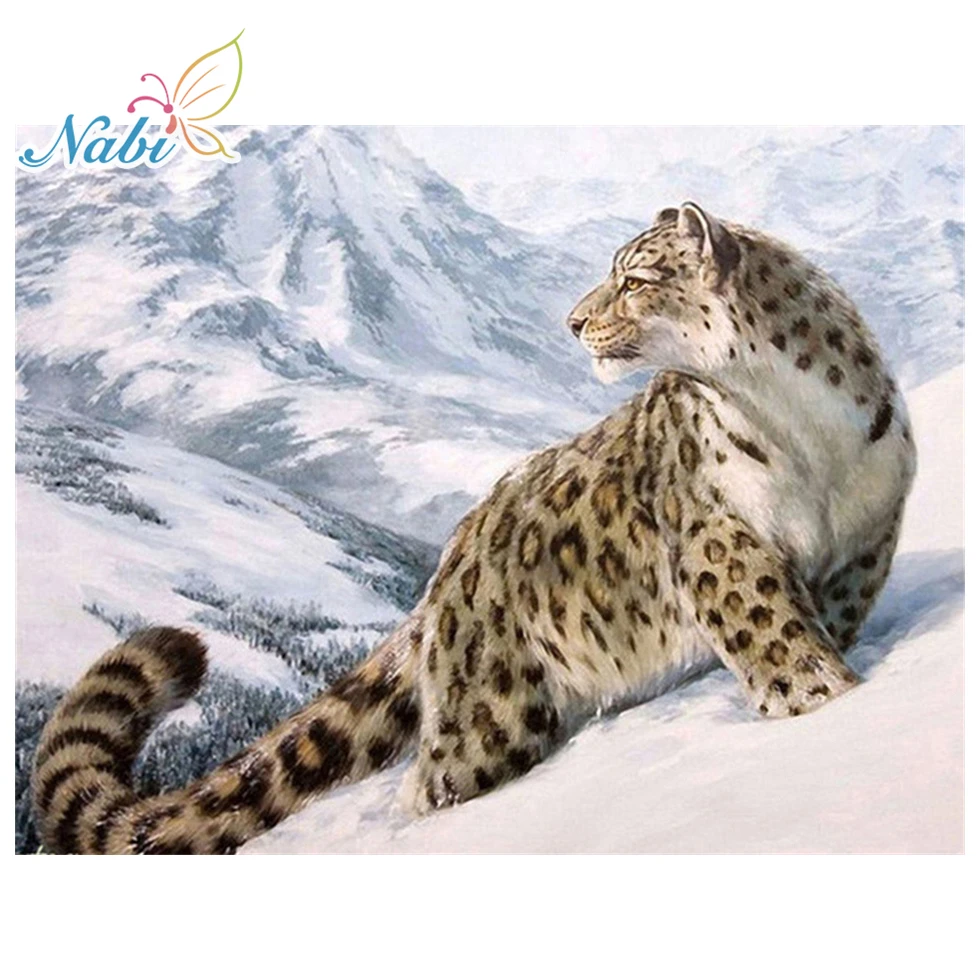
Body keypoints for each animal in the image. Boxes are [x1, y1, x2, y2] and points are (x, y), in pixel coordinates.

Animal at [32, 202, 916, 853]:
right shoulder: (720, 541)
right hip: (492, 715)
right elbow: (774, 635)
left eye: (633, 279)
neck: (800, 427)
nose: (572, 322)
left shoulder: (868, 532)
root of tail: (450, 562)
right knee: (433, 783)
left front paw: (835, 690)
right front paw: (821, 702)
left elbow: (824, 617)